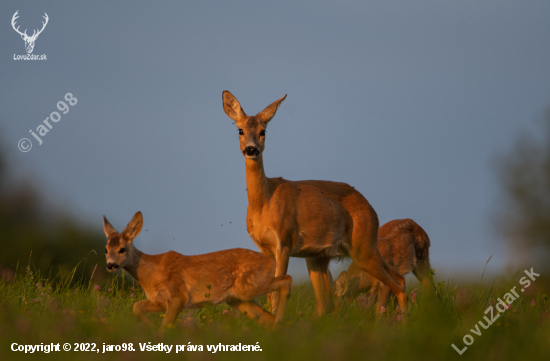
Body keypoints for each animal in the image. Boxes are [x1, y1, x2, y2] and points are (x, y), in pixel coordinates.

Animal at [222, 90, 408, 316]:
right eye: (240, 130)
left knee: (397, 284)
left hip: (362, 247)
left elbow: (276, 292)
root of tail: (372, 210)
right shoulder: (265, 248)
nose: (251, 149)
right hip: (320, 257)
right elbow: (269, 293)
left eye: (263, 131)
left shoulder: (284, 242)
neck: (263, 204)